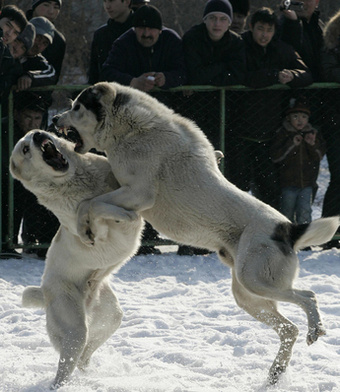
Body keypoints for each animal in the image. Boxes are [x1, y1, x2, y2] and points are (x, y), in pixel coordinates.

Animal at [9, 130, 143, 388]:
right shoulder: (99, 233)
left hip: (110, 317)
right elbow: (94, 208)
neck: (76, 182)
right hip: (74, 329)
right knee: (65, 367)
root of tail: (45, 293)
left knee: (84, 355)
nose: (38, 134)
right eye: (25, 149)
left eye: (33, 136)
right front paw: (123, 214)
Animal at [55, 81, 338, 384]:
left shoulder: (138, 194)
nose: (55, 119)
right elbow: (92, 203)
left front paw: (85, 229)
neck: (131, 129)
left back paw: (315, 329)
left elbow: (89, 204)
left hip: (256, 280)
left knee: (308, 296)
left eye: (77, 107)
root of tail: (288, 229)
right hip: (248, 295)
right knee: (289, 329)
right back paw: (275, 372)